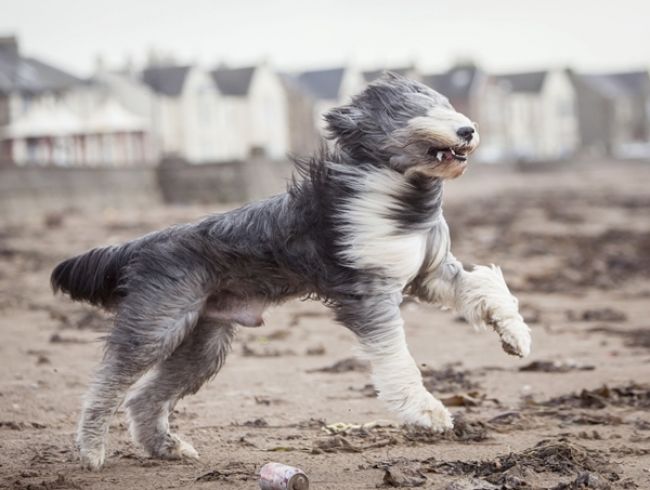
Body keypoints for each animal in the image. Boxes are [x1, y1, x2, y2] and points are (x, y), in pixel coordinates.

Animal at [52, 73, 532, 470]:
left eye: (445, 104)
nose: (467, 129)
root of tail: (146, 243)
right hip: (159, 322)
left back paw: (166, 448)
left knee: (143, 398)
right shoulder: (370, 291)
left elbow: (485, 285)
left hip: (204, 344)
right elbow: (396, 355)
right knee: (109, 383)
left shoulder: (429, 273)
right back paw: (91, 451)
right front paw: (426, 410)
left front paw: (515, 336)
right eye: (416, 109)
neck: (399, 195)